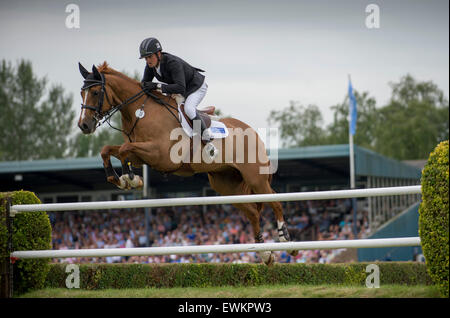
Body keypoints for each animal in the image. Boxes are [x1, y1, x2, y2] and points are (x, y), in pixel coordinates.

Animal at [77, 61, 298, 264]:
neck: (140, 112)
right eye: (81, 93)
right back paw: (265, 253)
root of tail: (253, 132)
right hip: (226, 185)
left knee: (275, 201)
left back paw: (287, 241)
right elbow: (109, 150)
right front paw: (122, 179)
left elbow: (124, 150)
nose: (84, 125)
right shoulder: (142, 154)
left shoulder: (161, 154)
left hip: (255, 178)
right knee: (253, 212)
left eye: (95, 92)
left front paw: (129, 178)